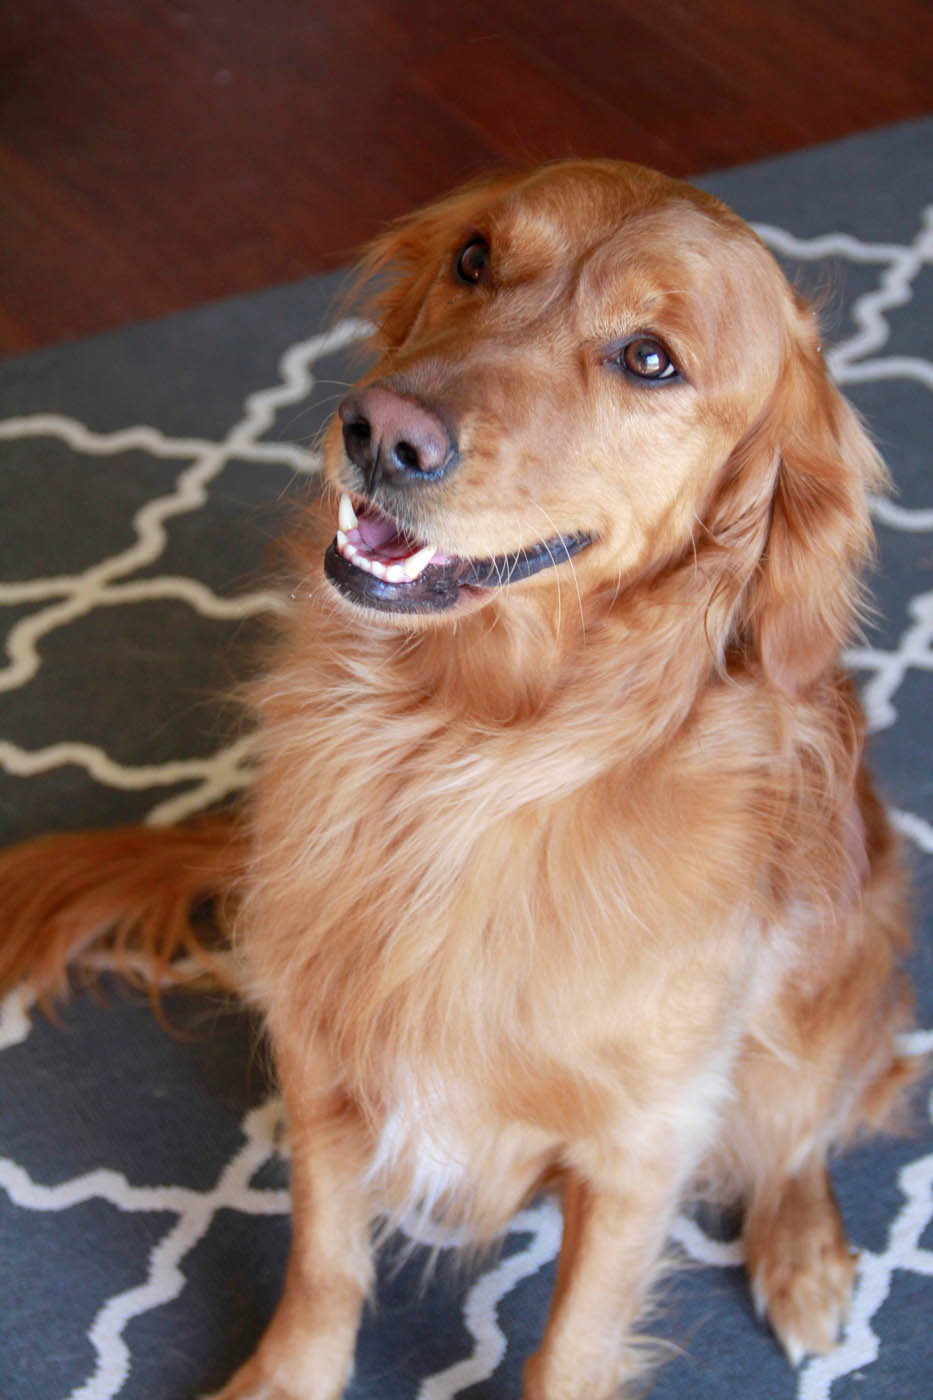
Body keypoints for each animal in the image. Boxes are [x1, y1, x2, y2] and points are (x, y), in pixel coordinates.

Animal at [0, 158, 913, 1394]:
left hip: (835, 971)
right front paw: (286, 1377)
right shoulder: (324, 1060)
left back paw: (805, 1249)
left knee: (803, 1123)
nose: (382, 432)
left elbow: (569, 1347)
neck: (459, 745)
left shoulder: (638, 1150)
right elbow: (325, 1264)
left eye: (650, 358)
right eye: (475, 257)